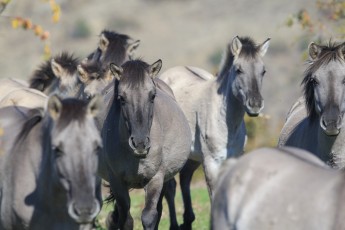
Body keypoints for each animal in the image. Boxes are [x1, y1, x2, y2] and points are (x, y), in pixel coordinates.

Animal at [101, 58, 192, 229]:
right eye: (121, 98)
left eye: (152, 96)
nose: (140, 143)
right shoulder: (117, 181)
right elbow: (126, 218)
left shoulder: (155, 178)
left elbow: (150, 216)